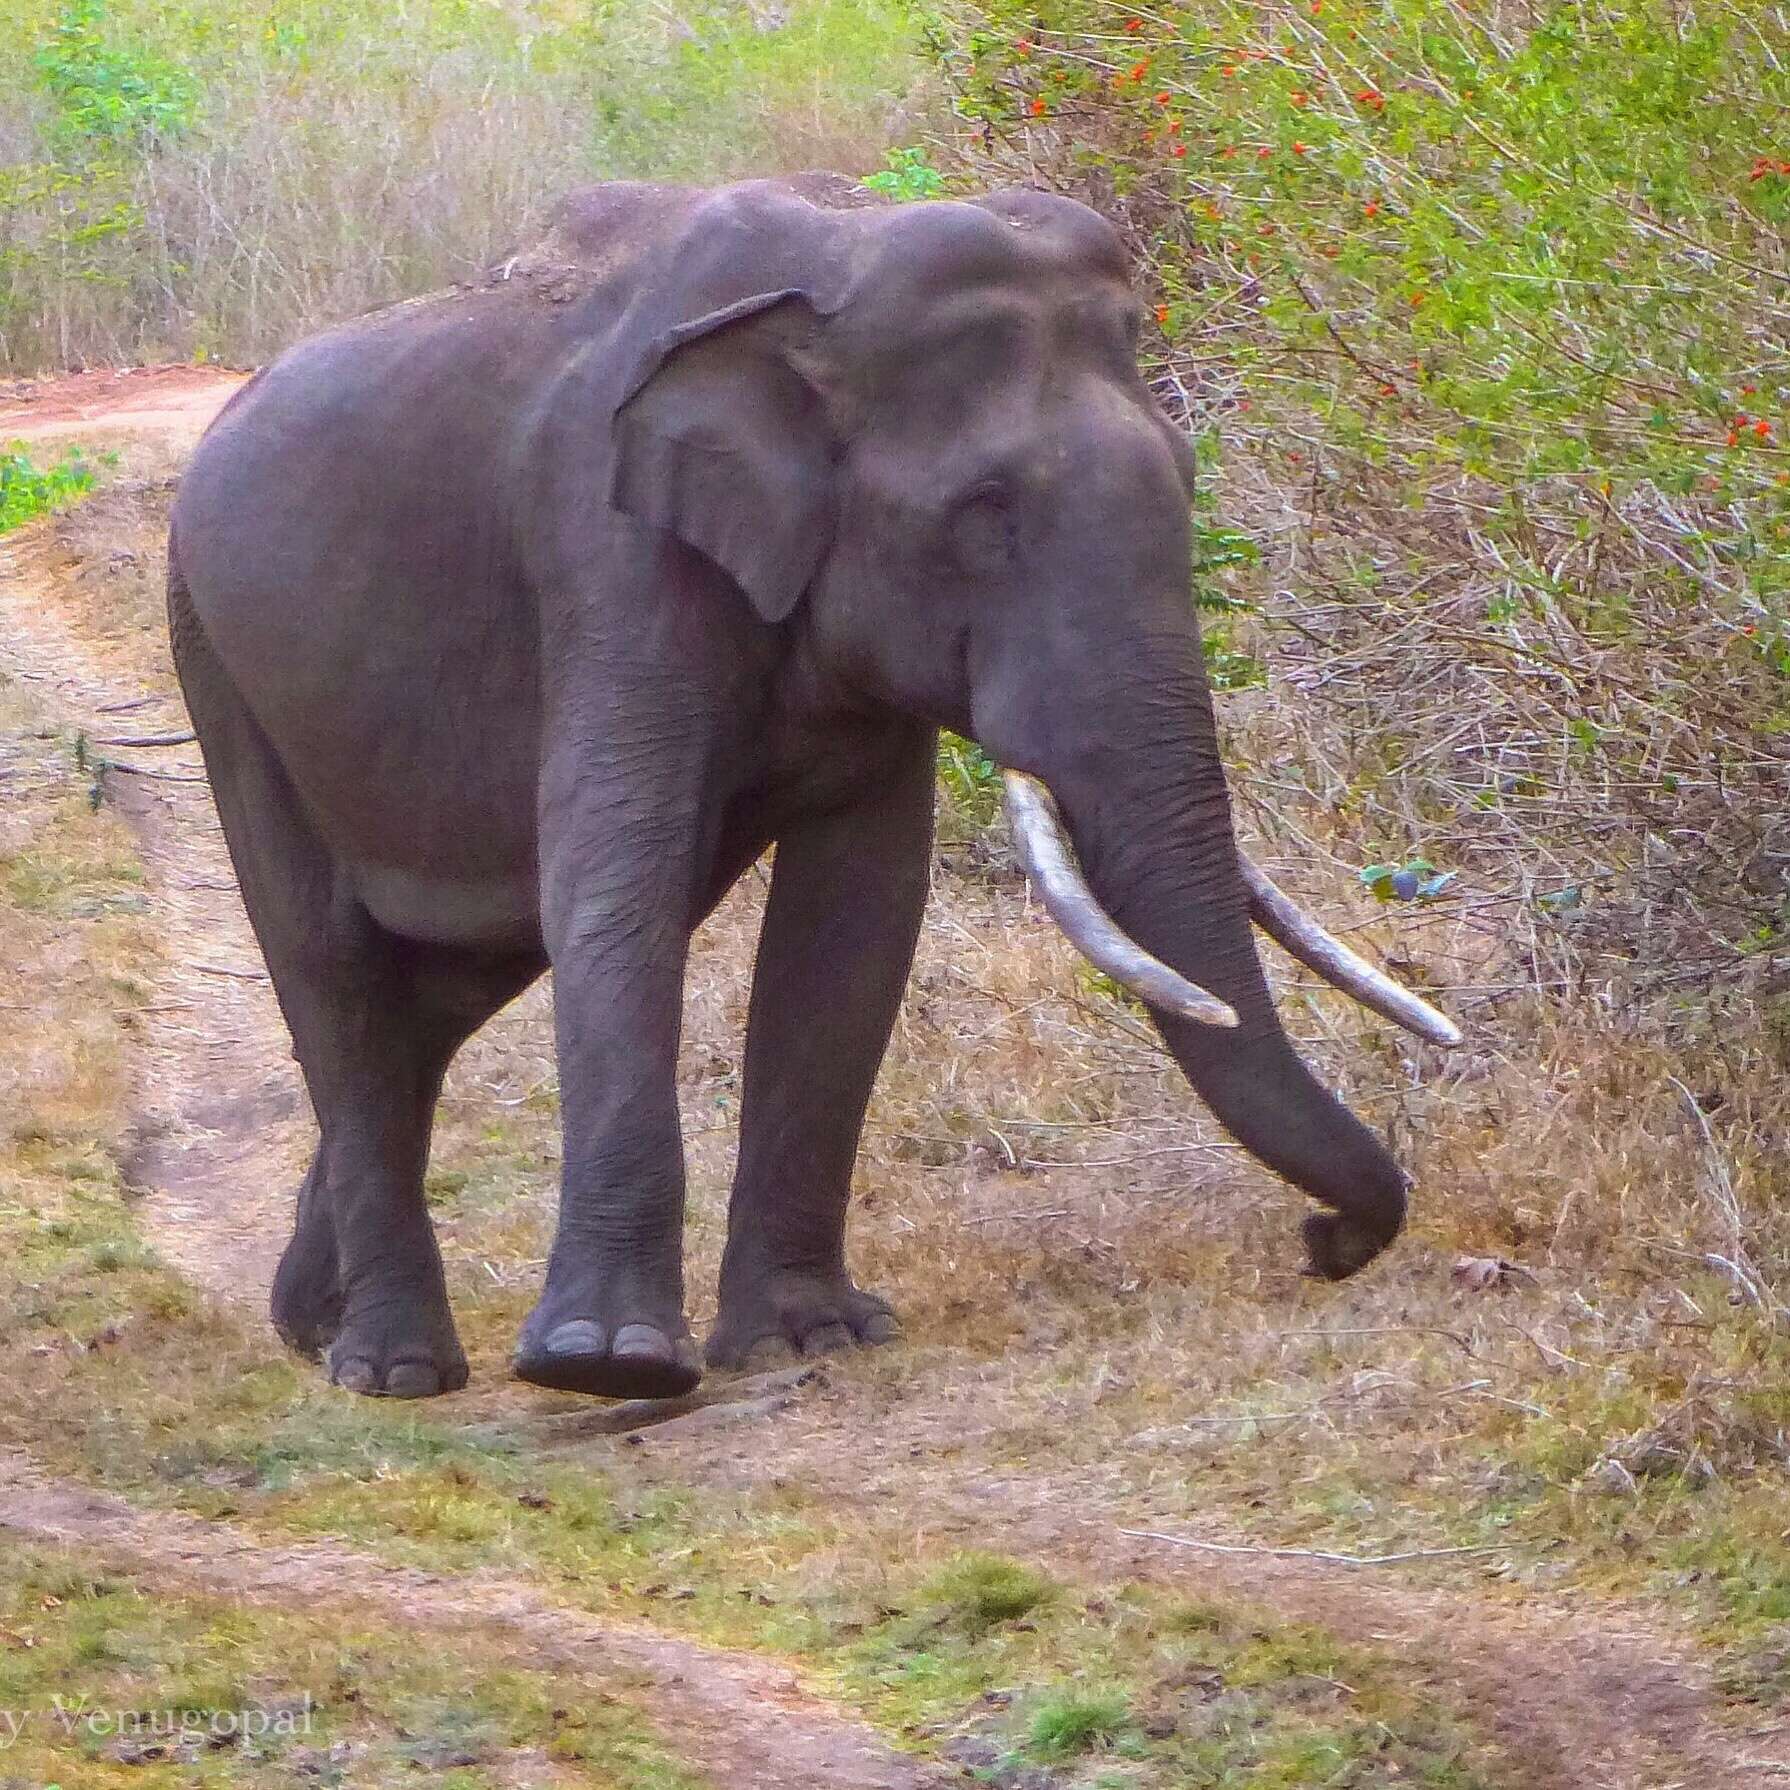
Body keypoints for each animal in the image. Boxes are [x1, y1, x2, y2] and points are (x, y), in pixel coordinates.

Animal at [164, 170, 1453, 1396]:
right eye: (985, 511)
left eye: (1186, 478)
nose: (1324, 1242)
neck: (836, 265)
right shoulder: (609, 554)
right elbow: (618, 880)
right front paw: (607, 1361)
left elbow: (853, 916)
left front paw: (806, 1337)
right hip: (219, 667)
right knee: (333, 970)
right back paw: (390, 1367)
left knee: (445, 985)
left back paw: (312, 1323)